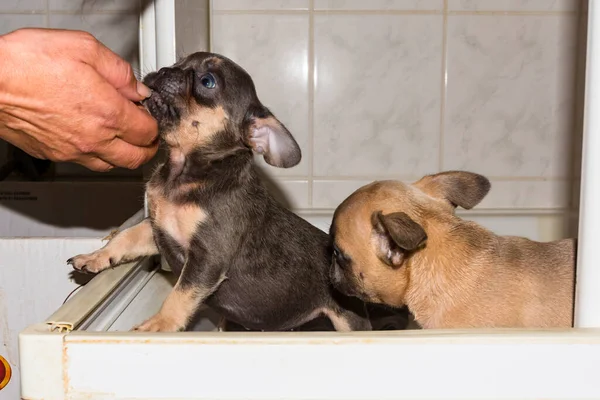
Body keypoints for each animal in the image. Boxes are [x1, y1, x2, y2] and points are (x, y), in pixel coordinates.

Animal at [67, 51, 376, 332]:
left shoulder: (207, 258)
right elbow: (125, 238)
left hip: (349, 320)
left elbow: (179, 295)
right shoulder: (155, 228)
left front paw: (160, 324)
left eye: (208, 81)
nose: (166, 70)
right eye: (178, 62)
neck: (183, 171)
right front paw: (96, 257)